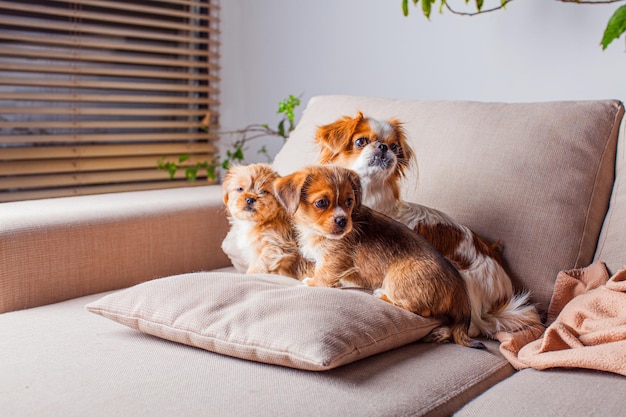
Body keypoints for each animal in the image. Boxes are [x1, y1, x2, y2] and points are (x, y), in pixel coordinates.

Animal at [272, 164, 482, 350]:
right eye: (321, 203)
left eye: (349, 201)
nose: (342, 221)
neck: (314, 231)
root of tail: (460, 289)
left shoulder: (333, 259)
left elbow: (323, 275)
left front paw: (310, 284)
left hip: (396, 279)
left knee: (423, 310)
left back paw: (382, 295)